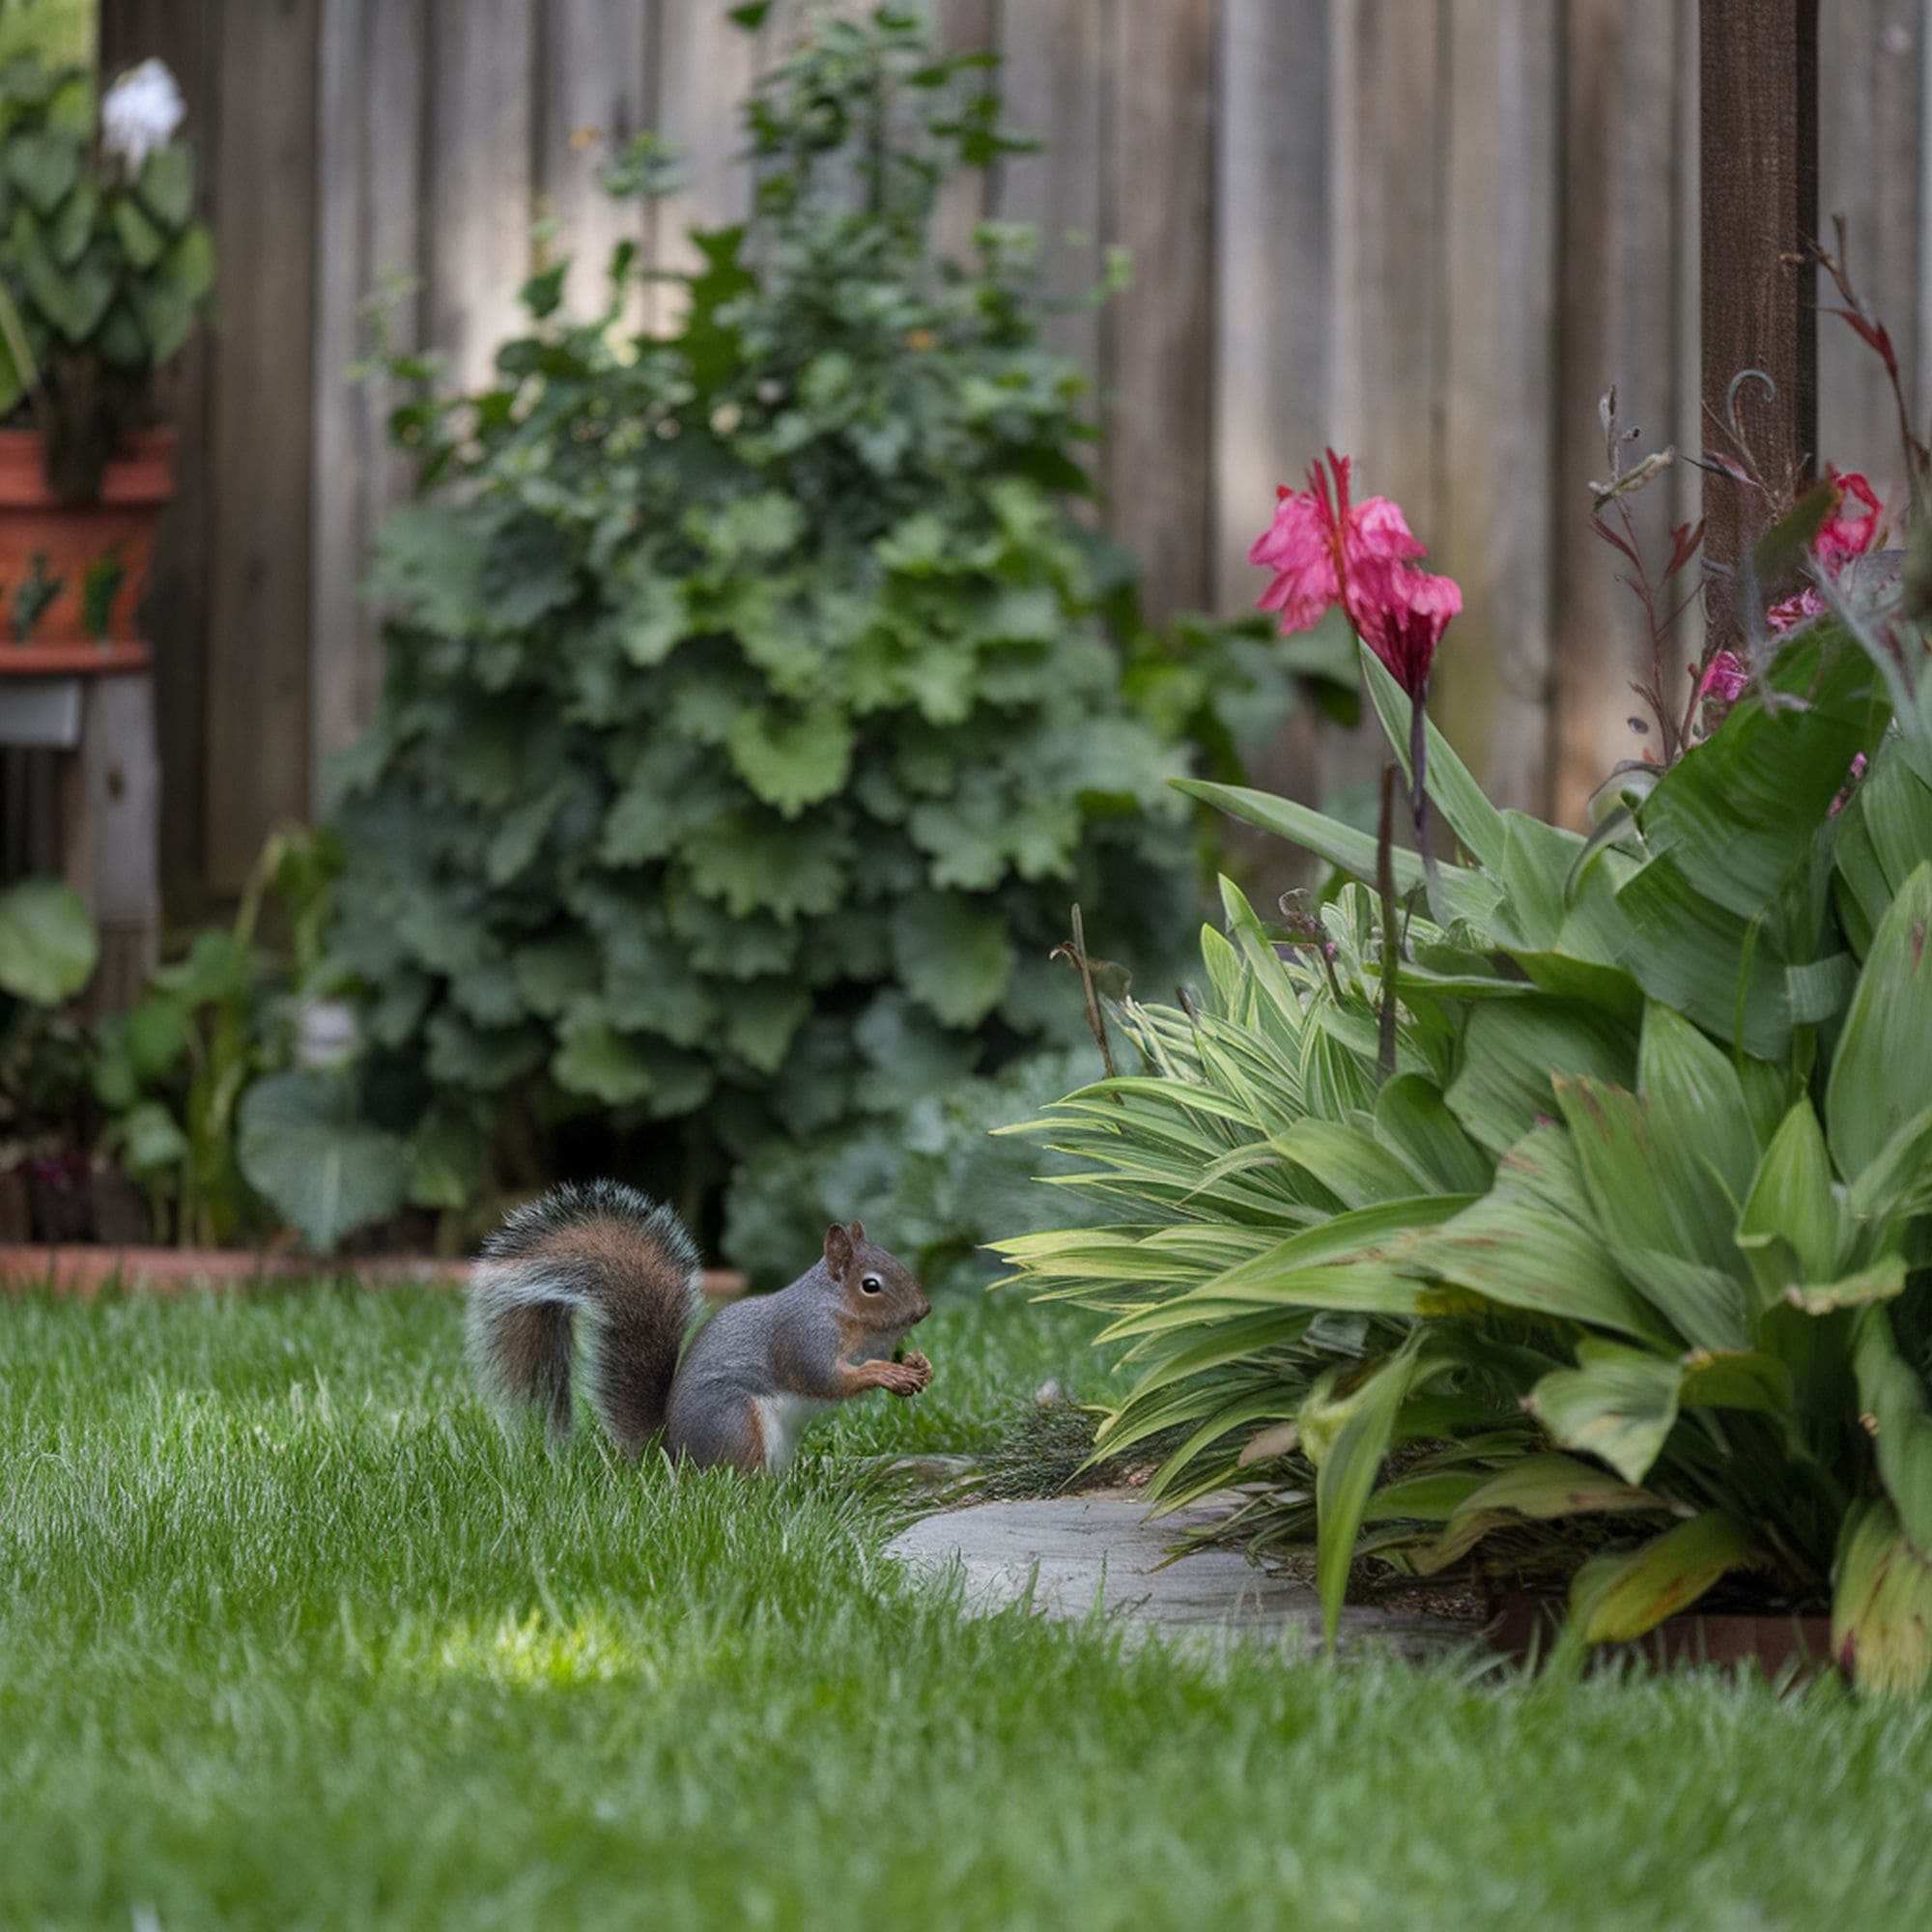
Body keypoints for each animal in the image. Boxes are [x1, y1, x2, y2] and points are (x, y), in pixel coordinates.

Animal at [465, 1180, 933, 1472]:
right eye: (870, 1285)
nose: (924, 1310)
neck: (844, 1314)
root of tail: (673, 1454)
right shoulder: (802, 1335)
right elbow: (826, 1377)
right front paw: (886, 1373)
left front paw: (917, 1364)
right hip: (735, 1422)